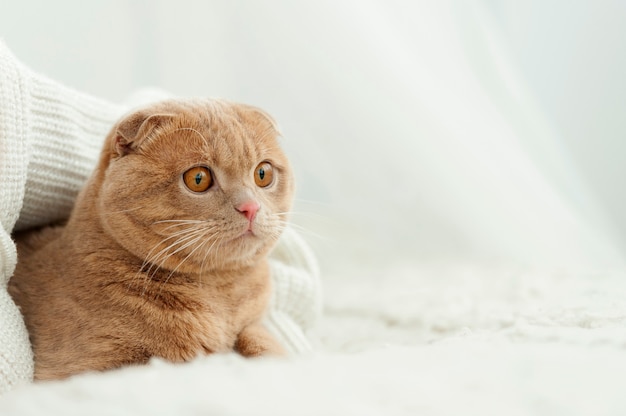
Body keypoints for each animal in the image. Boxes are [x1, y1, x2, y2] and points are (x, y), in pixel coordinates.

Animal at [9, 100, 292, 380]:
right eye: (198, 178)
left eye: (263, 174)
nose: (250, 207)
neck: (221, 292)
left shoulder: (253, 322)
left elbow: (259, 337)